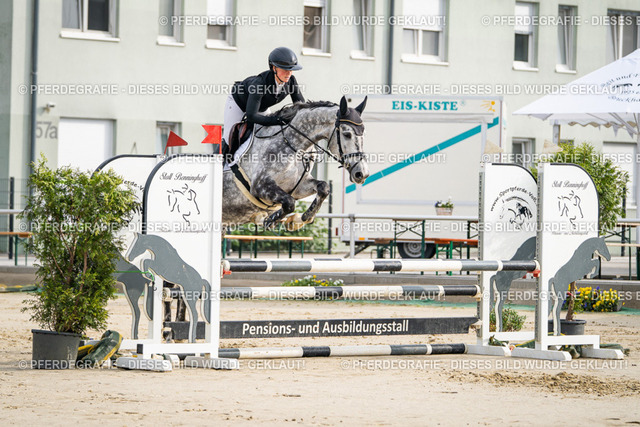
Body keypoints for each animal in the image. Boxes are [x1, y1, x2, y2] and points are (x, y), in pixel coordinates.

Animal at [222, 96, 369, 229]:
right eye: (347, 134)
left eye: (364, 133)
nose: (362, 174)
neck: (295, 146)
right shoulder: (259, 185)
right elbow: (289, 203)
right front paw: (270, 220)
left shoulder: (298, 186)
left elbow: (324, 187)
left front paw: (303, 218)